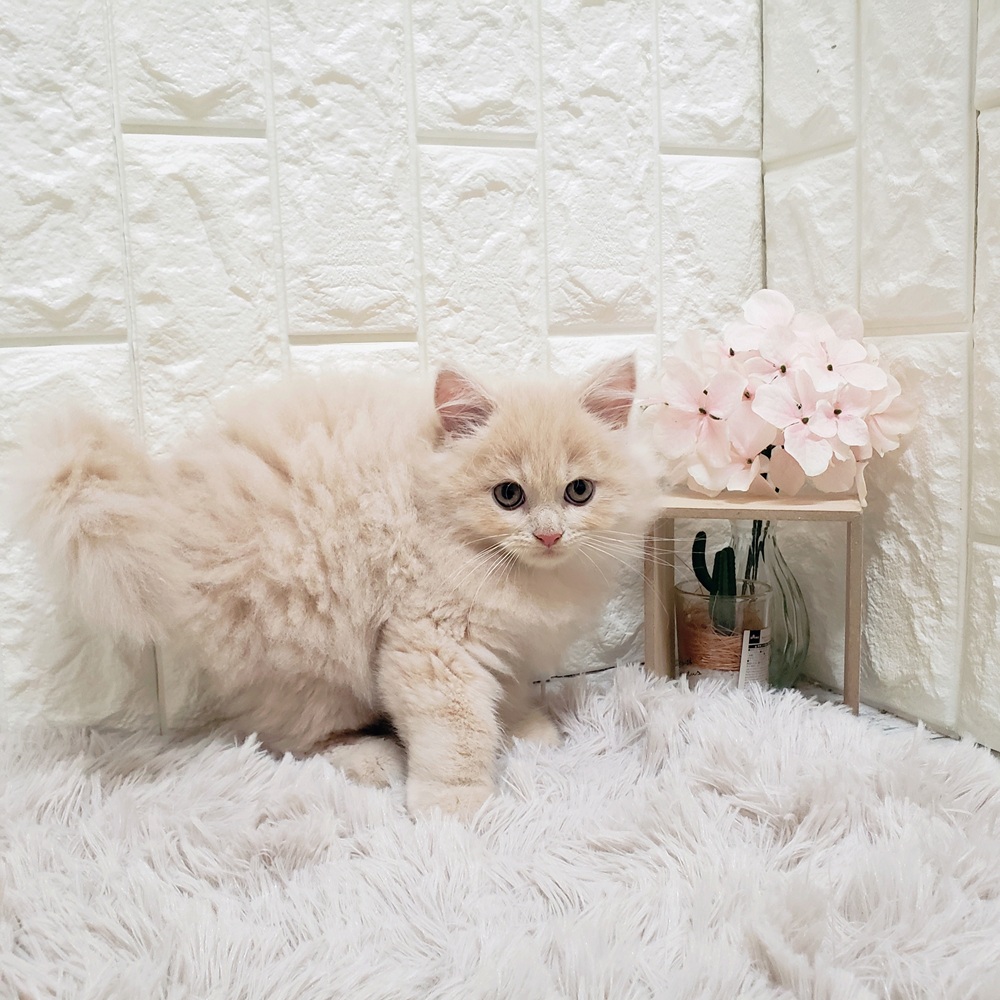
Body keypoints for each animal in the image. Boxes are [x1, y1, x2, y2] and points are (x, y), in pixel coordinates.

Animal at [7, 357, 659, 818]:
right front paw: (453, 807)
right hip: (304, 651)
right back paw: (370, 756)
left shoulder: (514, 642)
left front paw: (526, 731)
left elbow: (510, 693)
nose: (548, 535)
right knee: (294, 735)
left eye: (579, 492)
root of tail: (168, 506)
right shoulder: (431, 643)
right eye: (508, 495)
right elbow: (457, 730)